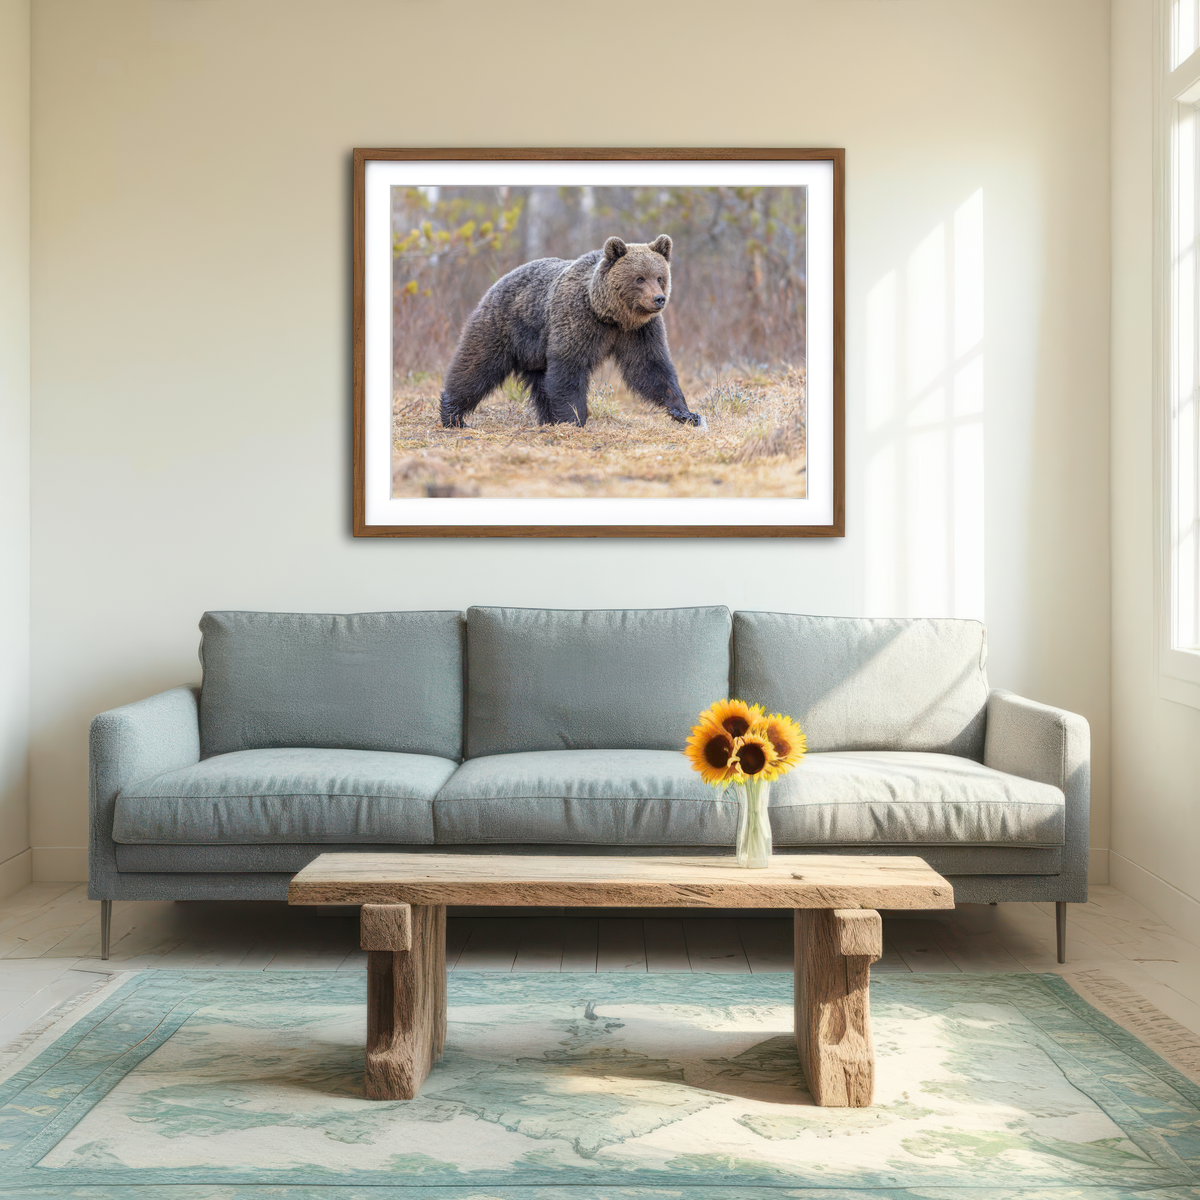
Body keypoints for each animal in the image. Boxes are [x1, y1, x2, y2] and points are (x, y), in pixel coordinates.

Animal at [439, 234, 702, 428]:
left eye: (659, 277)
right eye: (639, 278)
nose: (658, 299)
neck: (610, 314)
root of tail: (499, 281)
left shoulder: (640, 331)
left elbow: (651, 367)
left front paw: (686, 413)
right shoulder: (578, 319)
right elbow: (569, 367)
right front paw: (574, 418)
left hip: (536, 352)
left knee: (541, 384)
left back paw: (547, 419)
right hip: (504, 326)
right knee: (476, 366)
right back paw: (453, 415)